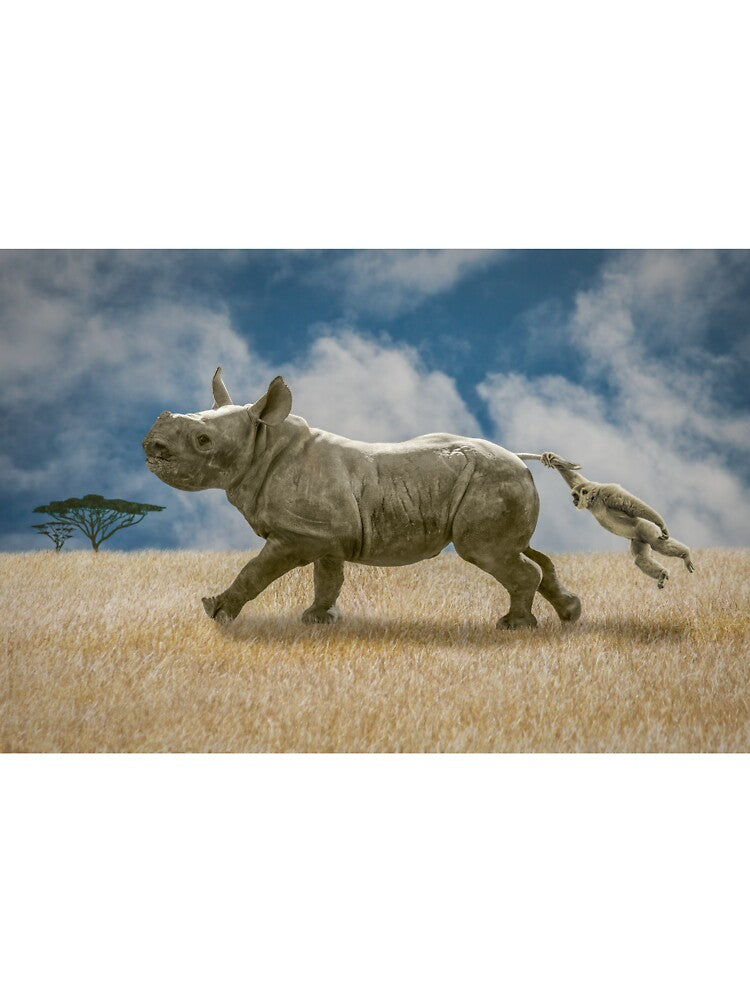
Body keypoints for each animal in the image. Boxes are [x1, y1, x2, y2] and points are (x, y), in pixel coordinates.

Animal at [518, 452, 695, 588]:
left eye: (575, 496)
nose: (573, 501)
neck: (595, 499)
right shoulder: (590, 487)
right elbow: (575, 478)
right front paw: (552, 457)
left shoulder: (608, 491)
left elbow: (632, 504)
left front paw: (661, 523)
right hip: (638, 538)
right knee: (640, 558)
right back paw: (662, 573)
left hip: (645, 527)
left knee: (657, 543)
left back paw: (685, 554)